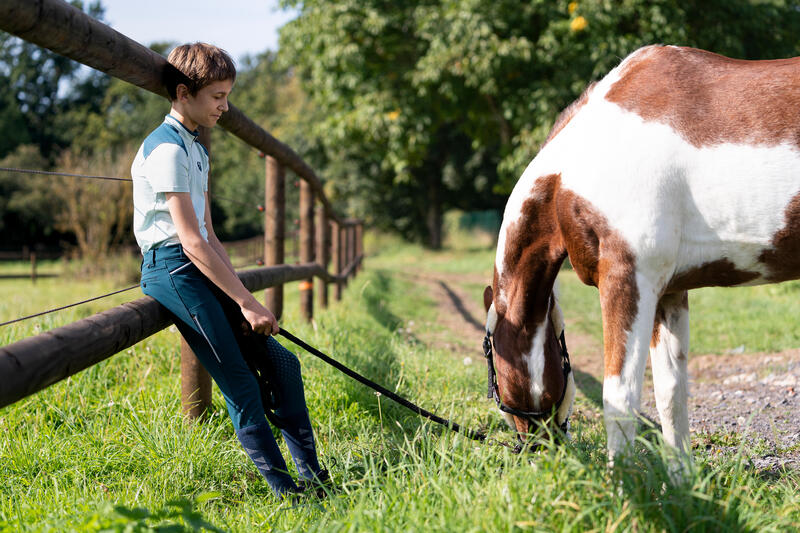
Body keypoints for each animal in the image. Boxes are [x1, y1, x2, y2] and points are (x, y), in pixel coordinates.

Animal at [482, 43, 800, 464]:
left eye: (492, 360)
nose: (535, 449)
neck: (586, 157)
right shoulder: (668, 292)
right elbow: (671, 395)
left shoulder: (628, 279)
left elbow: (620, 397)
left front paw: (619, 482)